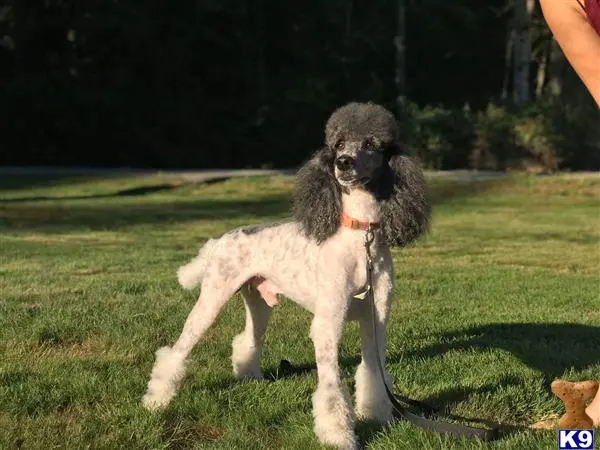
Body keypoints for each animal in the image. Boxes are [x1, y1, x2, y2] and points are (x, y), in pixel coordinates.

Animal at [142, 103, 428, 450]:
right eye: (338, 144)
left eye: (372, 143)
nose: (343, 163)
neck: (361, 238)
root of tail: (221, 240)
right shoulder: (328, 323)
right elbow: (331, 389)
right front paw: (338, 436)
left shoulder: (377, 319)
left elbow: (373, 373)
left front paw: (376, 415)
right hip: (210, 301)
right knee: (176, 351)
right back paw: (156, 401)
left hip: (258, 303)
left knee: (247, 339)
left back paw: (248, 376)